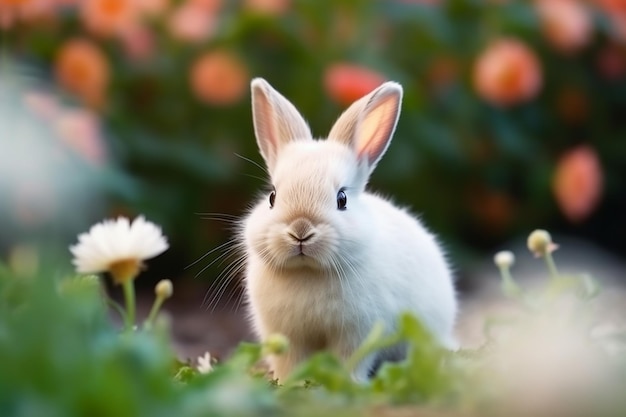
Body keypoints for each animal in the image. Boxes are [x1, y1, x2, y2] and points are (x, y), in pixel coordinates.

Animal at [241, 77, 456, 380]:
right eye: (272, 197)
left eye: (342, 199)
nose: (300, 230)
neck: (309, 273)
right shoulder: (285, 334)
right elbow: (290, 363)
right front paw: (288, 383)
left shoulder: (359, 333)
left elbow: (349, 362)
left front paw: (344, 382)